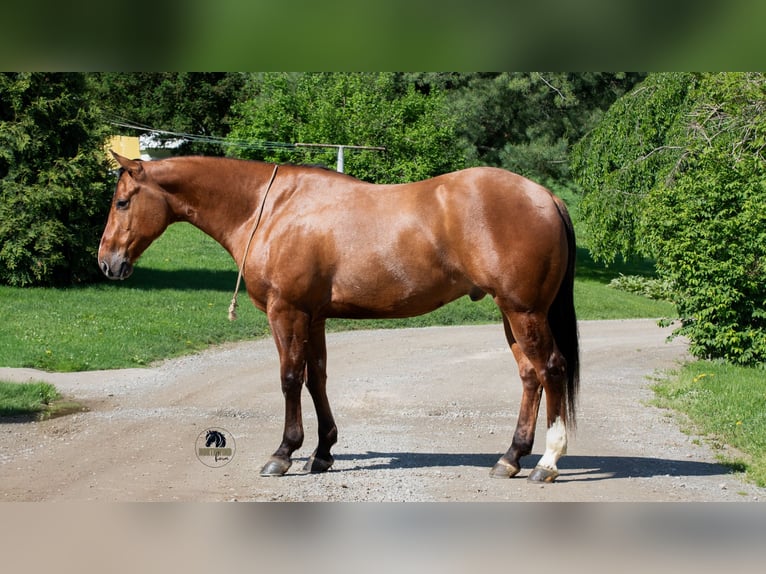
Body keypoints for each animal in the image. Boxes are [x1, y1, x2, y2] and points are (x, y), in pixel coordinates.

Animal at [99, 151, 579, 483]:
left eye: (122, 202)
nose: (107, 263)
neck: (270, 209)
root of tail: (546, 196)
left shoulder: (286, 311)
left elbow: (289, 378)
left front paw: (283, 453)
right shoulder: (313, 317)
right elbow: (316, 379)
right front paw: (322, 452)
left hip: (523, 311)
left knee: (552, 370)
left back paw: (548, 462)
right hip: (511, 314)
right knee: (530, 376)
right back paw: (510, 458)